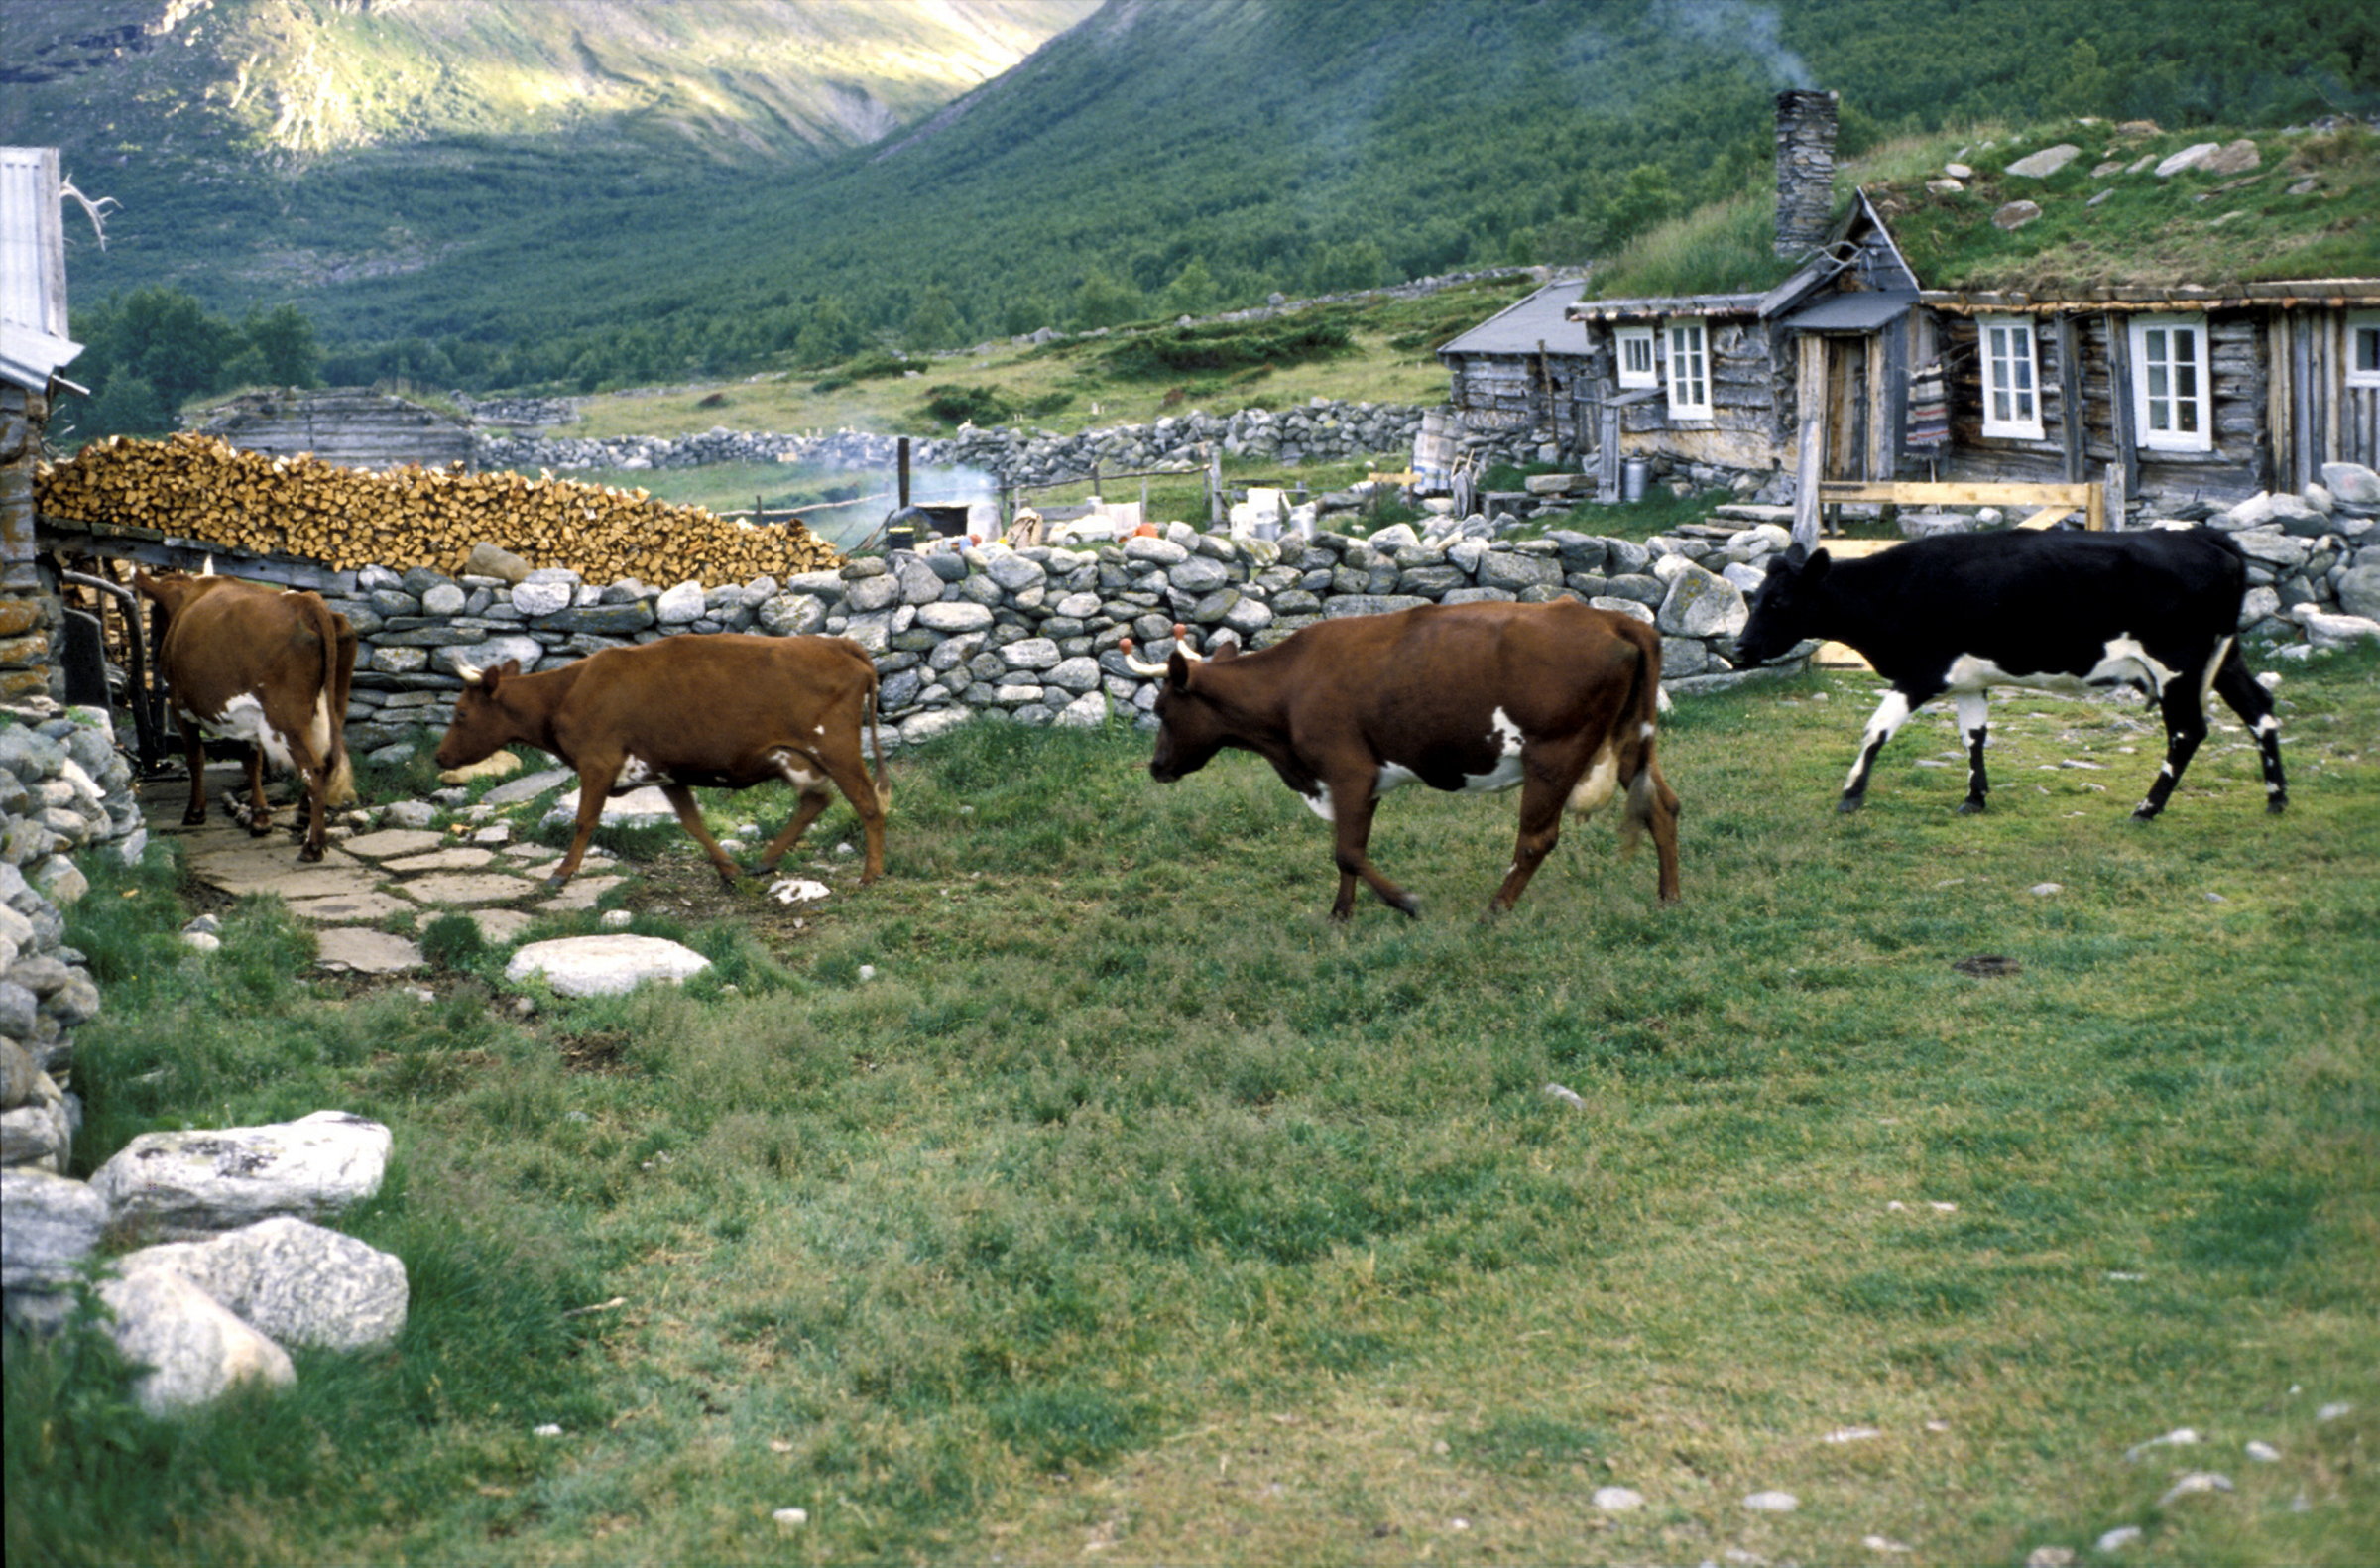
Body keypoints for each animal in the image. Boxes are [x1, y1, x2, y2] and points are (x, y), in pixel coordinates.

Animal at [133, 571, 357, 862]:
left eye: (156, 612)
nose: (154, 647)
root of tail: (305, 601)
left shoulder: (182, 709)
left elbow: (196, 758)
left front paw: (195, 812)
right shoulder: (248, 715)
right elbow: (252, 760)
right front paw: (260, 819)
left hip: (286, 717)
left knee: (314, 768)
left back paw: (313, 846)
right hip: (332, 706)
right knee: (327, 759)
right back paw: (303, 815)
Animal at [433, 633, 888, 889]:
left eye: (461, 714)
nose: (440, 756)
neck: (566, 693)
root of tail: (836, 642)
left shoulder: (597, 763)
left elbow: (584, 820)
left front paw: (562, 872)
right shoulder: (667, 771)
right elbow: (693, 823)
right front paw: (728, 869)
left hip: (837, 750)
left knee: (868, 805)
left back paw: (870, 874)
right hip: (795, 757)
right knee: (816, 800)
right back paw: (765, 861)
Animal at [1122, 600, 1680, 921]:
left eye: (1162, 709)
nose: (1157, 766)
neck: (1289, 686)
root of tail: (1613, 618)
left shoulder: (1348, 771)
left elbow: (1347, 852)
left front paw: (1405, 903)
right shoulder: (1358, 783)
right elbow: (1351, 850)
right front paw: (1340, 914)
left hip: (1555, 754)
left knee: (1536, 839)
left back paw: (1495, 910)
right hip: (1629, 743)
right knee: (1662, 807)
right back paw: (1668, 897)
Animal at [1730, 529, 2286, 819]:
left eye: (1778, 601)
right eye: (1754, 596)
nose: (1739, 648)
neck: (1897, 588)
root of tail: (2203, 535)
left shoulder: (1921, 672)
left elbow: (1876, 729)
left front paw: (1851, 794)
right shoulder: (1968, 680)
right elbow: (1973, 737)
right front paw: (1975, 797)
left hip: (2177, 666)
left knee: (2187, 731)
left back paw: (2148, 807)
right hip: (2224, 658)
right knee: (2260, 710)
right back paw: (2276, 797)